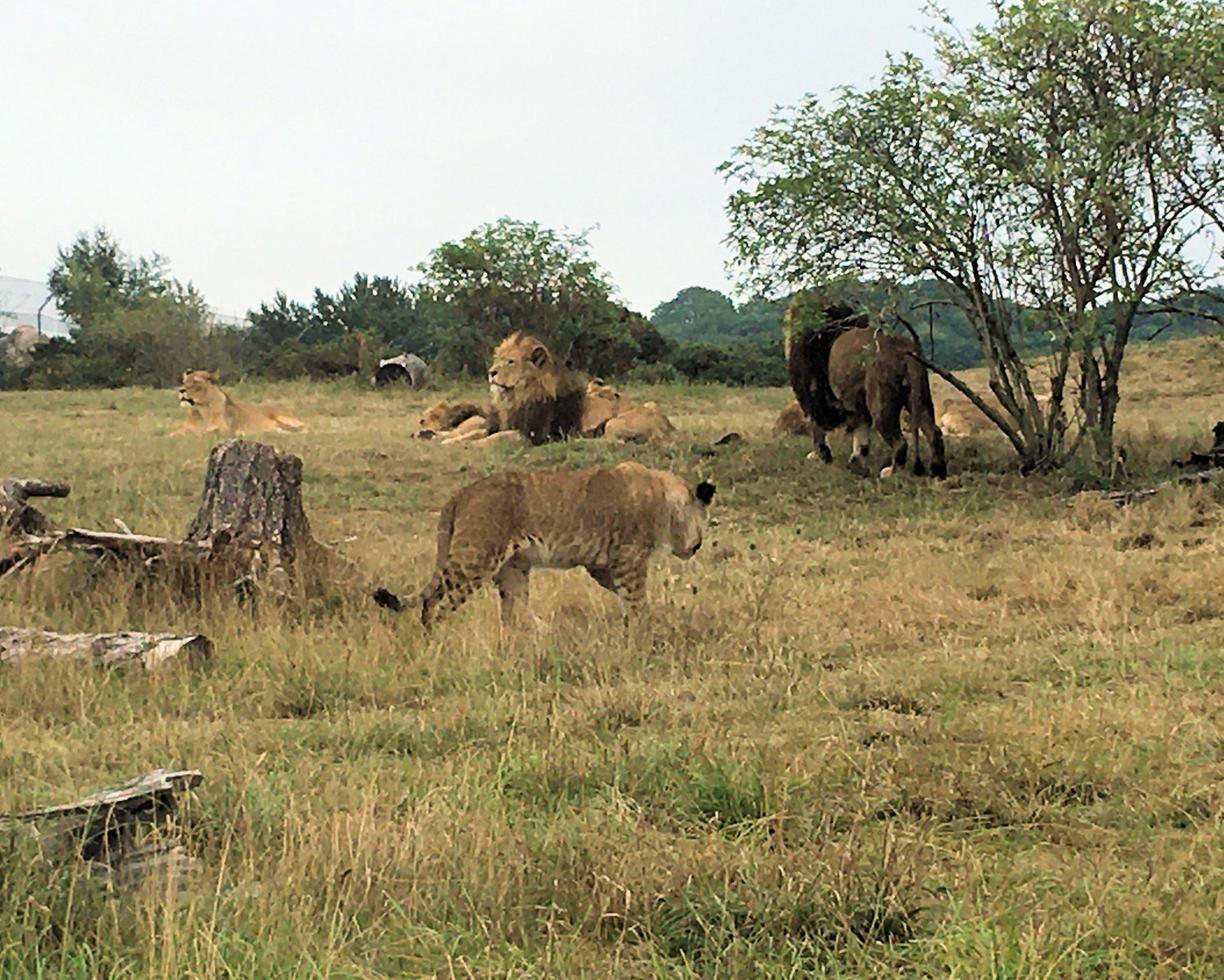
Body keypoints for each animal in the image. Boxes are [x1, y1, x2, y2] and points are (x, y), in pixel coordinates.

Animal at [172, 369, 306, 433]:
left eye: (196, 382)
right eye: (184, 381)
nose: (181, 390)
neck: (202, 408)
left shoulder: (225, 429)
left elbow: (209, 431)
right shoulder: (184, 429)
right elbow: (174, 434)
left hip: (285, 418)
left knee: (305, 429)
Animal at [391, 460, 714, 626]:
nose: (698, 545)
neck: (664, 495)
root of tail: (461, 493)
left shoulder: (602, 564)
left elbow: (624, 595)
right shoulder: (629, 557)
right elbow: (635, 599)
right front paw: (645, 629)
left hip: (512, 570)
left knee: (510, 611)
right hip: (475, 559)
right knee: (440, 604)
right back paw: (440, 638)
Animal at [783, 302, 944, 477]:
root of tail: (904, 350)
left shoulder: (815, 396)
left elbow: (818, 430)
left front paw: (820, 457)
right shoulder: (855, 401)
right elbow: (861, 434)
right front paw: (857, 465)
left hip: (880, 401)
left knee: (900, 442)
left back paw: (891, 473)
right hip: (920, 396)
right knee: (934, 433)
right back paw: (938, 472)